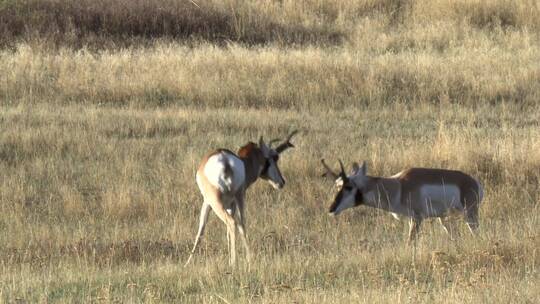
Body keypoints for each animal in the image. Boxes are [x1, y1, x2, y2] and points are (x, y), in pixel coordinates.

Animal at [184, 131, 298, 266]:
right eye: (273, 158)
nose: (281, 182)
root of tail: (225, 161)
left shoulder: (210, 203)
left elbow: (201, 229)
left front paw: (187, 263)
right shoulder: (228, 204)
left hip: (220, 202)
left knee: (233, 222)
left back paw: (234, 262)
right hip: (238, 197)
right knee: (241, 223)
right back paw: (247, 258)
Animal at [320, 159, 486, 242]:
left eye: (348, 186)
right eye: (338, 185)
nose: (331, 209)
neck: (399, 185)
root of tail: (473, 182)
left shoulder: (417, 219)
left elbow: (410, 242)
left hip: (470, 216)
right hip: (444, 220)